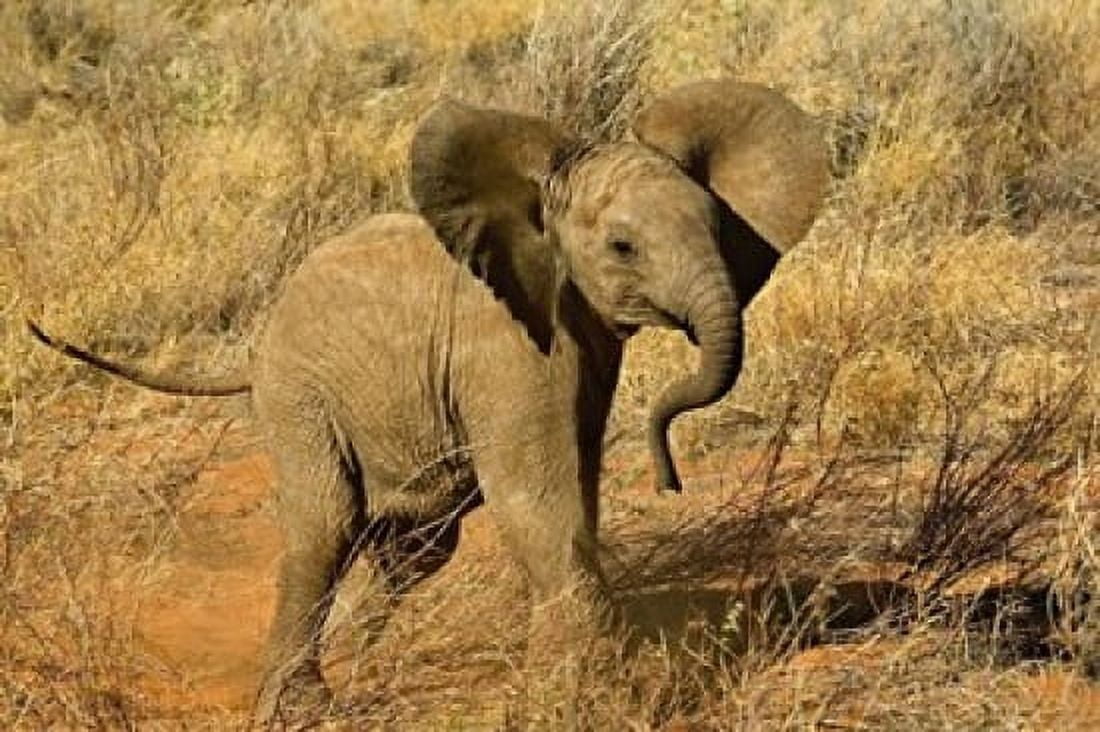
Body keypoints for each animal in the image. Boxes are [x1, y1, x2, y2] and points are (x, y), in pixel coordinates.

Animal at [27, 79, 828, 725]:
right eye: (623, 247)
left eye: (719, 229)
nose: (671, 479)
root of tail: (254, 349)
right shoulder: (504, 342)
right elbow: (536, 500)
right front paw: (588, 703)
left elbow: (574, 489)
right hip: (300, 394)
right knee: (325, 527)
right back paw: (301, 708)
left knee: (415, 549)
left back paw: (367, 668)